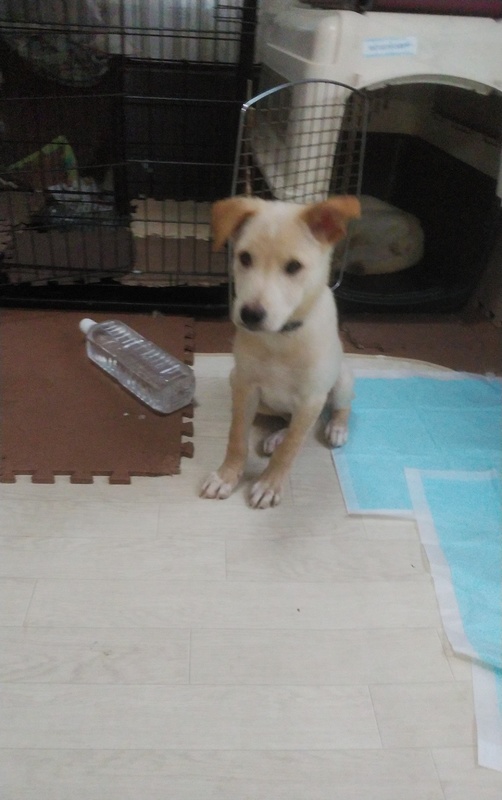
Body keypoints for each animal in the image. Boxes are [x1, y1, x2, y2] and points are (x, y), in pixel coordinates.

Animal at [200, 195, 360, 509]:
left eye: (294, 266)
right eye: (244, 258)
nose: (250, 315)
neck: (280, 339)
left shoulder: (311, 398)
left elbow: (291, 449)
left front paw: (269, 485)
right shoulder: (245, 385)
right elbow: (237, 437)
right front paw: (226, 476)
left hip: (341, 380)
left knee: (335, 410)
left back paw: (336, 428)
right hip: (245, 387)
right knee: (289, 421)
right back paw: (277, 436)